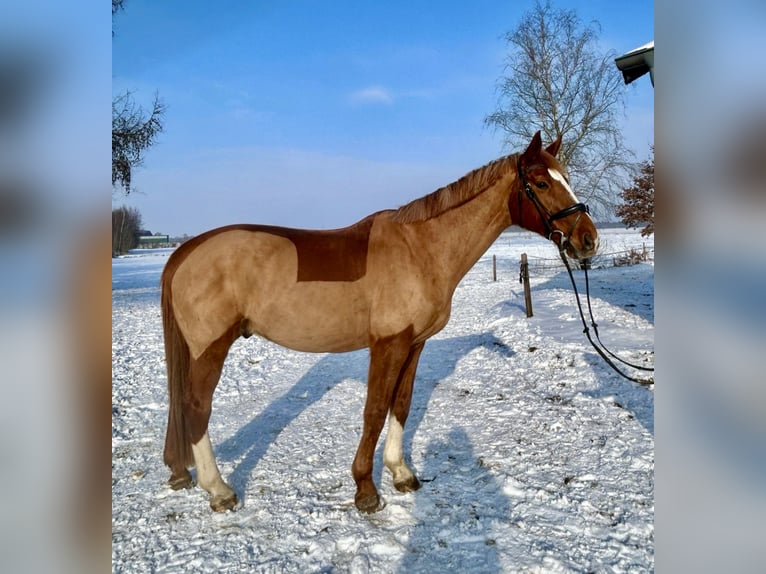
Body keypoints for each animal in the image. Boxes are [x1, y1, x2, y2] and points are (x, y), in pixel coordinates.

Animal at [161, 131, 598, 513]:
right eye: (541, 183)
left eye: (567, 178)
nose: (588, 240)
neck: (421, 249)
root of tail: (186, 250)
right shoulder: (388, 344)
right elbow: (373, 410)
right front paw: (366, 491)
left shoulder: (414, 344)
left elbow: (400, 405)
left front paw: (401, 473)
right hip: (210, 348)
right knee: (196, 406)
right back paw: (218, 490)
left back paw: (181, 473)